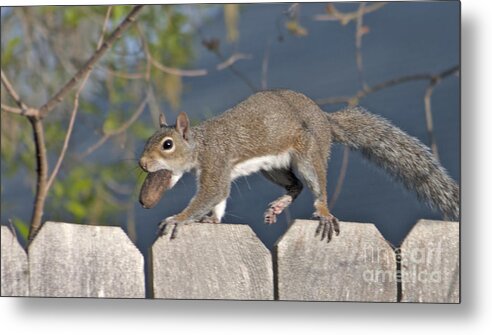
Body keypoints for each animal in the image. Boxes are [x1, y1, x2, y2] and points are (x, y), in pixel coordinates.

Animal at [139, 88, 462, 242]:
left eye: (167, 144)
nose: (142, 164)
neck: (201, 144)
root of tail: (326, 121)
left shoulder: (216, 163)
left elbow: (212, 193)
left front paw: (177, 219)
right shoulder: (220, 172)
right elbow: (218, 199)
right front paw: (211, 220)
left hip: (309, 156)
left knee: (315, 185)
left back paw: (324, 211)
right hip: (273, 167)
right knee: (294, 186)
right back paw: (279, 205)